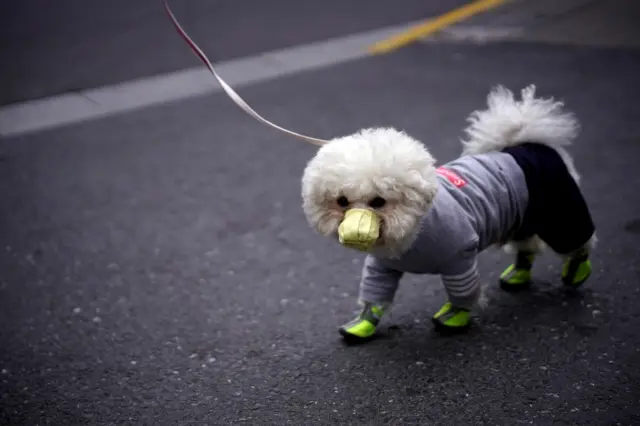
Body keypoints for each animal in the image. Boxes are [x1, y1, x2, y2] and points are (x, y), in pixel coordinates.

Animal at [300, 85, 596, 342]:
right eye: (342, 201)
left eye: (378, 201)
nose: (353, 231)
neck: (413, 233)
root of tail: (526, 144)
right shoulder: (381, 265)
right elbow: (374, 295)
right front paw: (363, 324)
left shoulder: (460, 259)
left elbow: (462, 294)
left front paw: (454, 318)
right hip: (522, 218)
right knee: (527, 246)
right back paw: (519, 274)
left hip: (560, 213)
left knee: (578, 242)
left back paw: (577, 270)